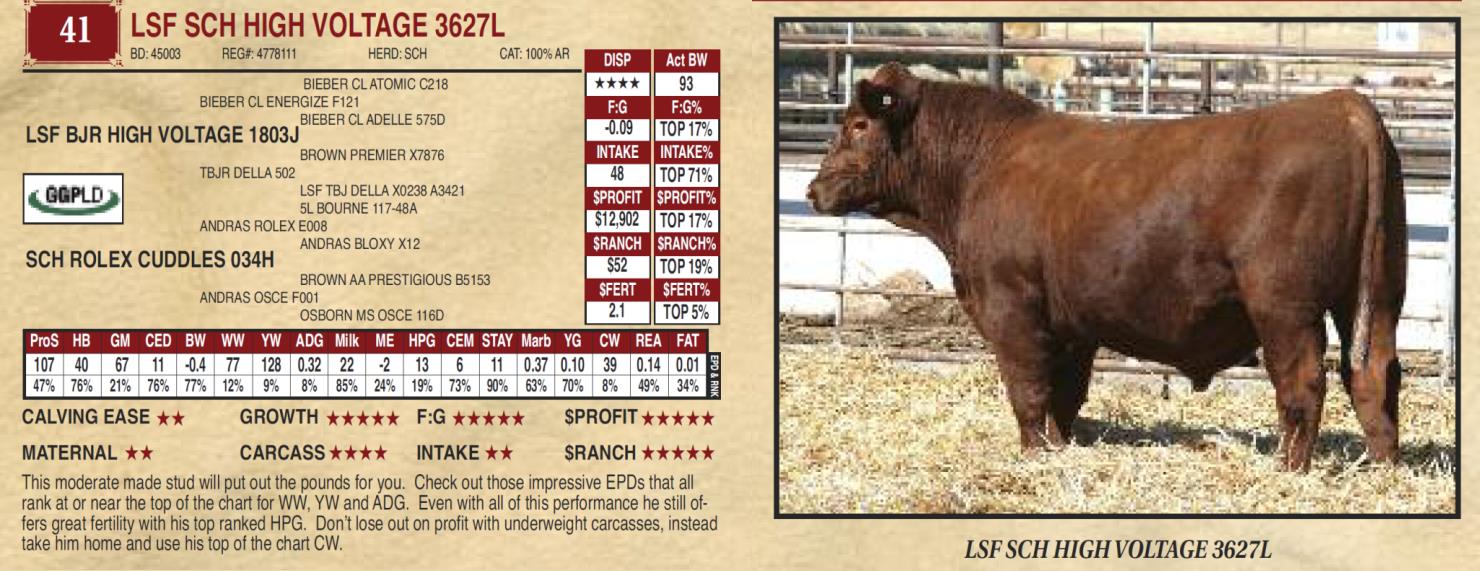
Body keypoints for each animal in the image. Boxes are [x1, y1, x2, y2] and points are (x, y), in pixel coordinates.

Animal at [806, 63, 1407, 471]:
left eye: (857, 125)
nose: (813, 190)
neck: (978, 167)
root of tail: (1343, 105)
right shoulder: (1070, 323)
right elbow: (1064, 395)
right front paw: (1058, 449)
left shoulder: (1010, 305)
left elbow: (1028, 389)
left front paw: (1034, 457)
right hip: (1378, 294)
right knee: (1375, 374)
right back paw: (1382, 466)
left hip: (1284, 304)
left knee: (1303, 382)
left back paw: (1289, 468)